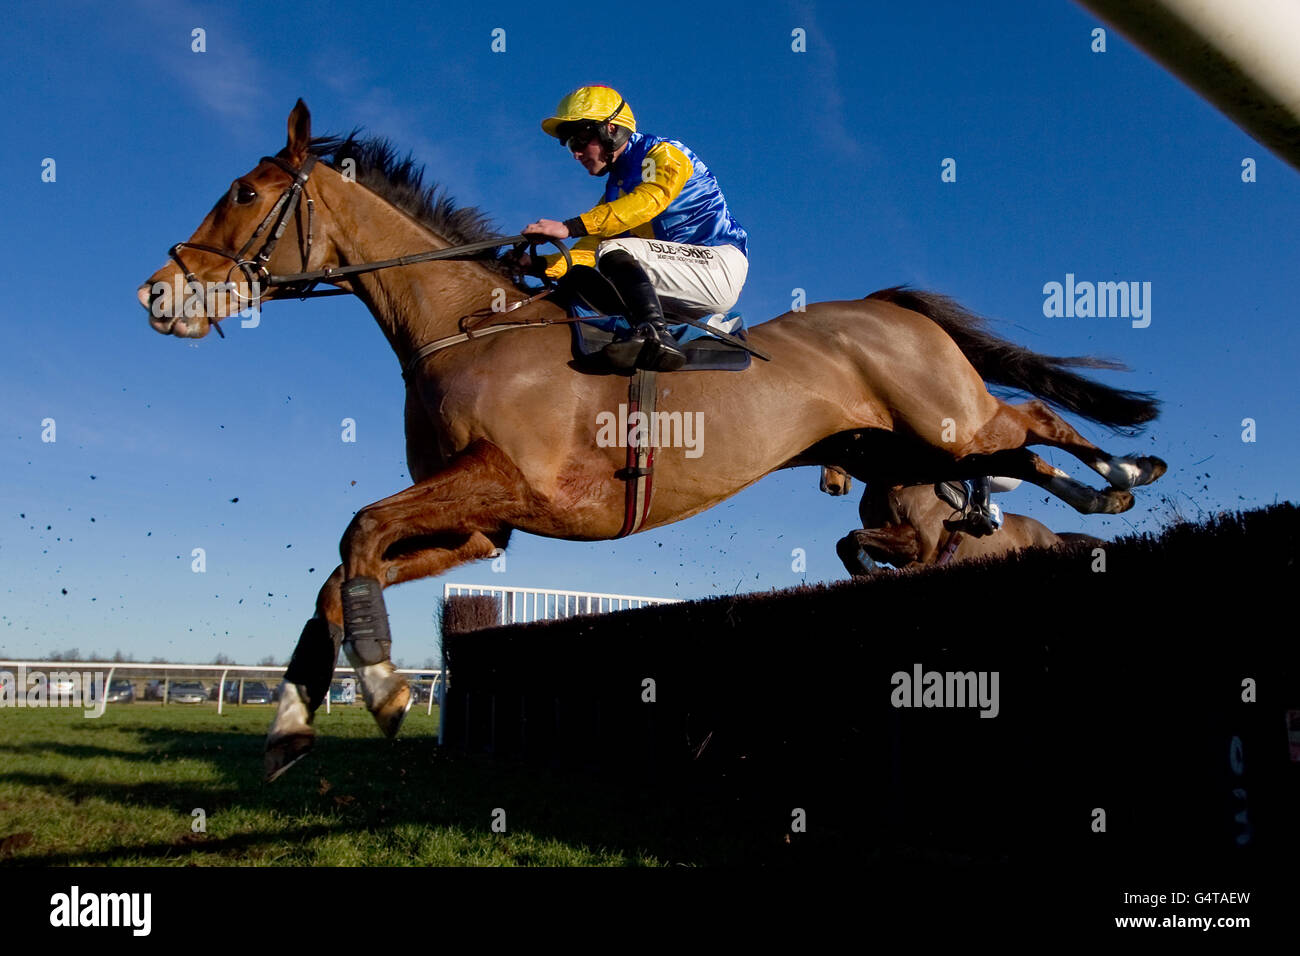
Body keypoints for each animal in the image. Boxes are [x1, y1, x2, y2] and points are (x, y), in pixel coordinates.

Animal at [816, 468, 1102, 572]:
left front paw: (871, 570)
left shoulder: (918, 544)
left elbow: (854, 537)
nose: (830, 485)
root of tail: (1054, 536)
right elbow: (846, 542)